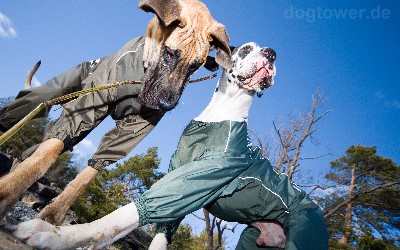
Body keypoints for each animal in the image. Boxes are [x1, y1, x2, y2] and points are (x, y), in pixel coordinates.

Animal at [0, 0, 231, 223]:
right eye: (168, 53)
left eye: (194, 66)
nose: (167, 104)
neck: (141, 70)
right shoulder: (89, 104)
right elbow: (48, 151)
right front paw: (9, 191)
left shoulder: (135, 128)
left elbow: (92, 170)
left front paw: (55, 214)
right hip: (48, 95)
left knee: (34, 149)